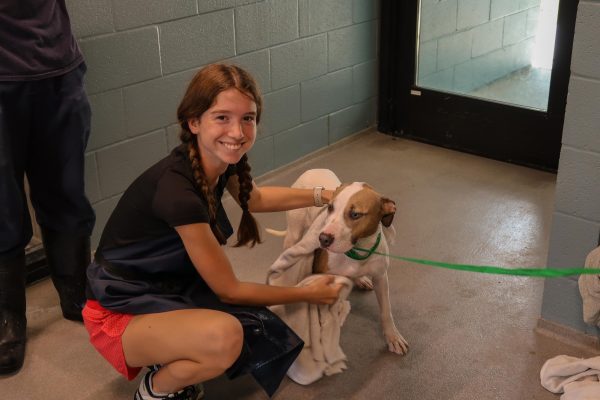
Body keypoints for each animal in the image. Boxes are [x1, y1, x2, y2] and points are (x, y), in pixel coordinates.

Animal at [270, 168, 410, 354]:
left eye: (355, 214)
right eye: (330, 207)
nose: (323, 238)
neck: (358, 250)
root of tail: (311, 169)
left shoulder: (381, 278)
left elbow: (386, 311)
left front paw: (393, 337)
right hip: (294, 233)